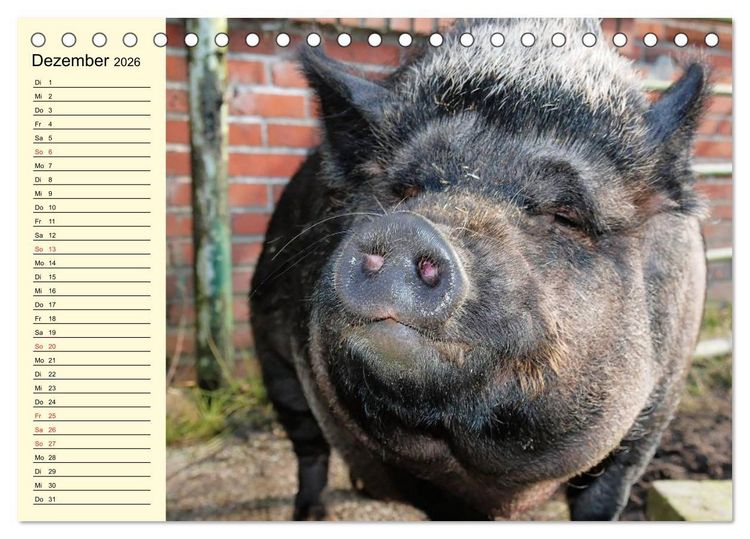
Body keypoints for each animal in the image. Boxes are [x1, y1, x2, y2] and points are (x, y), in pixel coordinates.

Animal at [249, 18, 708, 520]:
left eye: (566, 215)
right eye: (405, 190)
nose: (407, 229)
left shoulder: (651, 419)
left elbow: (604, 498)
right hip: (272, 354)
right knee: (307, 444)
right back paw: (311, 514)